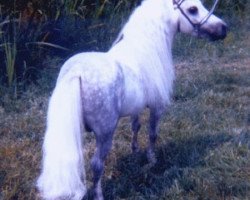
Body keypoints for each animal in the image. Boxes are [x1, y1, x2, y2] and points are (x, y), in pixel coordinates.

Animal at [36, 0, 227, 199]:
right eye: (192, 9)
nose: (224, 28)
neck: (143, 49)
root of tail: (77, 72)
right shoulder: (157, 107)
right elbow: (152, 133)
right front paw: (152, 159)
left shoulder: (136, 107)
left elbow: (136, 127)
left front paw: (135, 151)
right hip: (104, 134)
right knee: (97, 165)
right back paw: (99, 194)